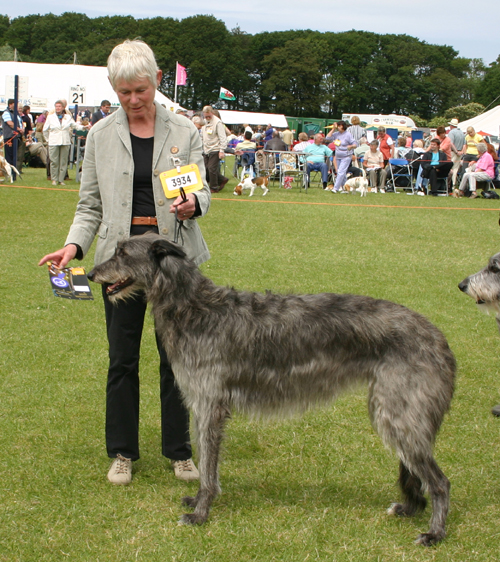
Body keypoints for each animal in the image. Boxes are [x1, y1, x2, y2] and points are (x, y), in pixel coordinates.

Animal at [88, 232, 456, 544]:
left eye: (122, 253)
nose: (91, 274)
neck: (194, 308)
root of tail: (439, 338)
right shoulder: (200, 404)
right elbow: (206, 462)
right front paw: (198, 501)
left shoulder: (210, 405)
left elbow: (208, 466)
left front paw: (201, 513)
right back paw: (409, 508)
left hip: (398, 414)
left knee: (440, 481)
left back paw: (434, 533)